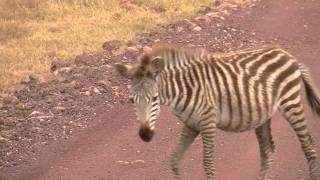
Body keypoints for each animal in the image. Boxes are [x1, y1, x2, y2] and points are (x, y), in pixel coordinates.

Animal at [115, 44, 320, 180]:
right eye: (131, 100)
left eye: (155, 98)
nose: (145, 135)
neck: (182, 90)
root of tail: (288, 54)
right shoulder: (190, 125)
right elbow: (174, 160)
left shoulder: (208, 122)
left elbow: (208, 164)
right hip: (264, 114)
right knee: (268, 152)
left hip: (290, 102)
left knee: (308, 145)